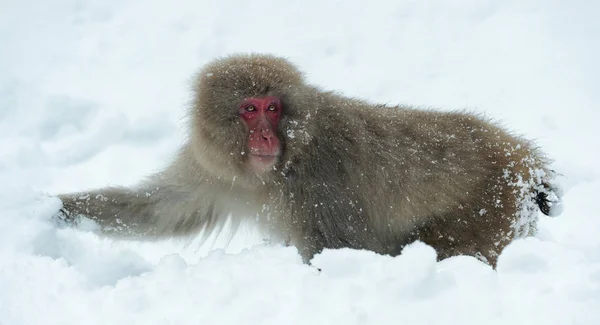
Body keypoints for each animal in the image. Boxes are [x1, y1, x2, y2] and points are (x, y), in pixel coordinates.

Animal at [57, 53, 564, 266]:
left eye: (273, 107)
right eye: (249, 109)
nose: (265, 134)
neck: (277, 168)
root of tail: (522, 157)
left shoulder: (319, 181)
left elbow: (342, 251)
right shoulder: (213, 169)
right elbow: (164, 210)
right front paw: (55, 211)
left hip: (488, 207)